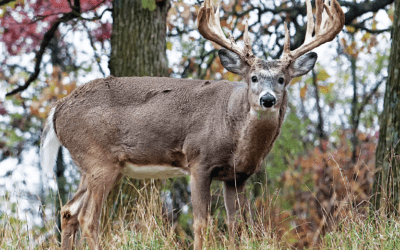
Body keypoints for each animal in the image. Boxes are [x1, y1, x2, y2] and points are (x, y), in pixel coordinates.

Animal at [40, 0, 346, 249]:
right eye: (254, 77)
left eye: (282, 79)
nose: (268, 99)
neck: (235, 134)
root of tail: (58, 108)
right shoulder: (199, 161)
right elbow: (202, 224)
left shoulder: (238, 176)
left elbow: (238, 226)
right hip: (100, 160)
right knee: (88, 218)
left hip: (88, 165)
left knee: (68, 212)